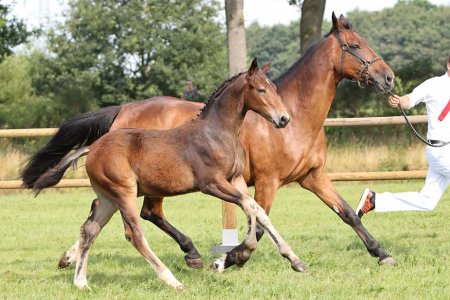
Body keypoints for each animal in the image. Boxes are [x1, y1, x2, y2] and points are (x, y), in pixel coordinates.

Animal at [66, 58, 302, 288]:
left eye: (274, 88)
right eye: (261, 90)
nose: (284, 119)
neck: (216, 133)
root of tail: (93, 148)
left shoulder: (235, 180)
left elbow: (256, 210)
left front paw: (294, 260)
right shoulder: (212, 184)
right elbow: (251, 206)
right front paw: (242, 253)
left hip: (109, 198)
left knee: (90, 229)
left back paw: (80, 281)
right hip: (124, 193)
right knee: (134, 234)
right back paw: (173, 281)